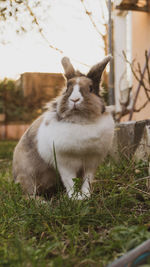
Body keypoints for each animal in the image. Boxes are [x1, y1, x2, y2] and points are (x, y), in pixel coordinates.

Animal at [12, 55, 114, 200]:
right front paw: (75, 198)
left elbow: (87, 181)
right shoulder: (65, 164)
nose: (75, 100)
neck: (80, 122)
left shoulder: (91, 163)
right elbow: (69, 181)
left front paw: (85, 196)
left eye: (90, 89)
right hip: (27, 176)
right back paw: (41, 202)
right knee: (28, 194)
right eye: (67, 89)